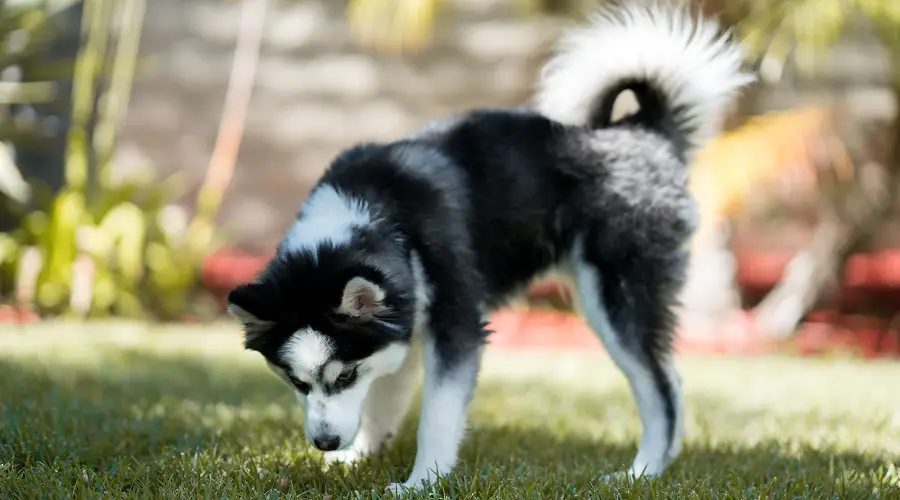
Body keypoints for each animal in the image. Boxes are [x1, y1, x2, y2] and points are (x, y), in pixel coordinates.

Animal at [227, 1, 752, 494]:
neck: (382, 215)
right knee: (671, 380)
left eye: (344, 376)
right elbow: (384, 402)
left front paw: (421, 483)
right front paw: (359, 457)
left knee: (661, 389)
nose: (325, 443)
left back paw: (641, 473)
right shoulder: (400, 331)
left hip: (616, 299)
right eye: (296, 381)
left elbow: (437, 417)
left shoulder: (456, 326)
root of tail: (641, 131)